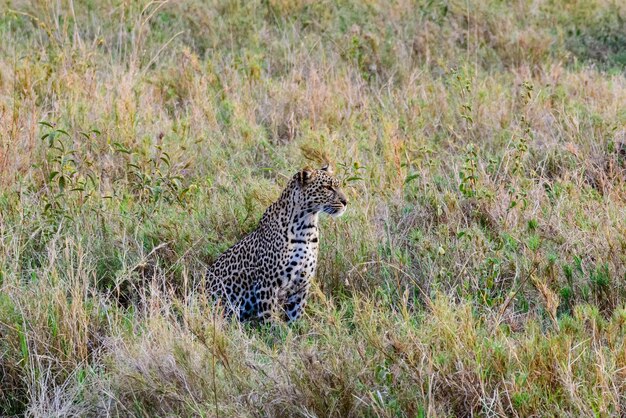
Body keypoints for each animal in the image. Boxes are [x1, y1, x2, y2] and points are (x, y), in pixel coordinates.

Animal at [205, 166, 346, 324]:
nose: (346, 202)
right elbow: (270, 319)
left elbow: (295, 317)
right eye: (327, 187)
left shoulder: (301, 286)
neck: (306, 227)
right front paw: (275, 329)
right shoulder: (267, 285)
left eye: (339, 186)